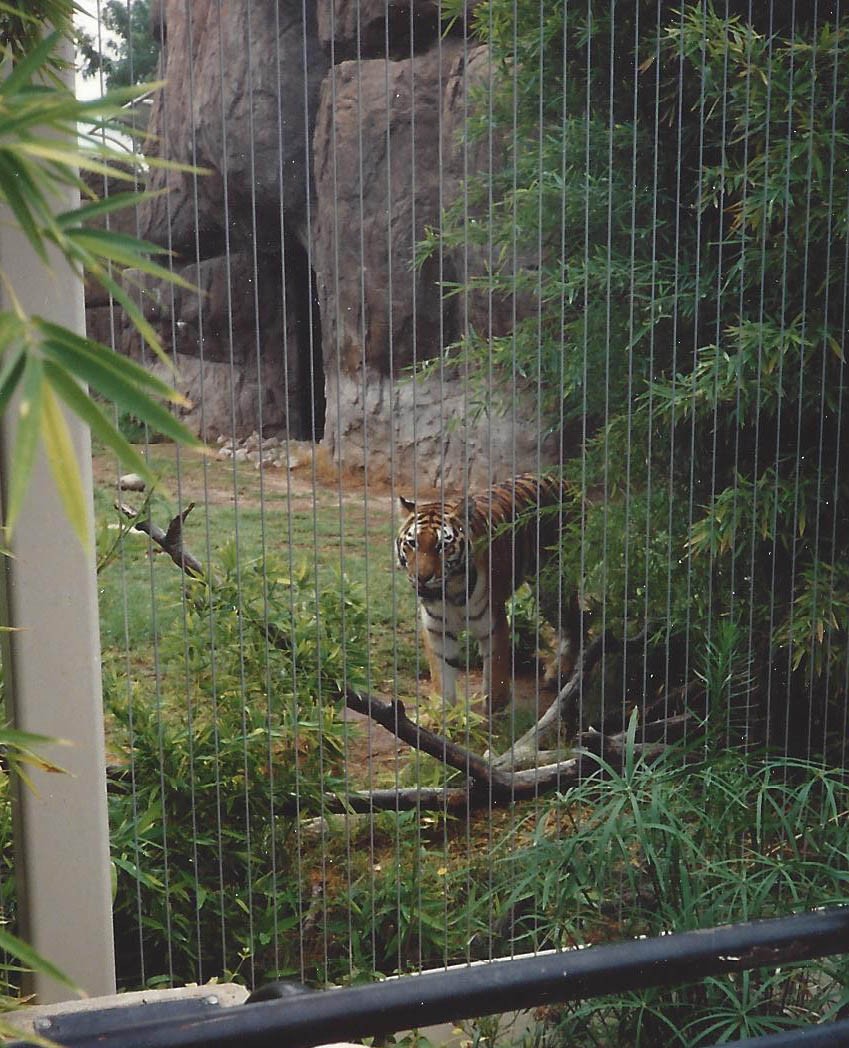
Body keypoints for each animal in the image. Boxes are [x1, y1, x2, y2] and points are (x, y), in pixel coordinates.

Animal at [396, 472, 580, 711]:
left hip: (553, 582)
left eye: (441, 546)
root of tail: (560, 479)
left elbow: (496, 676)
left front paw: (494, 711)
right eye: (412, 544)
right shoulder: (437, 629)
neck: (450, 593)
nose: (422, 577)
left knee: (575, 622)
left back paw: (560, 674)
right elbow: (442, 676)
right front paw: (442, 713)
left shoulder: (494, 623)